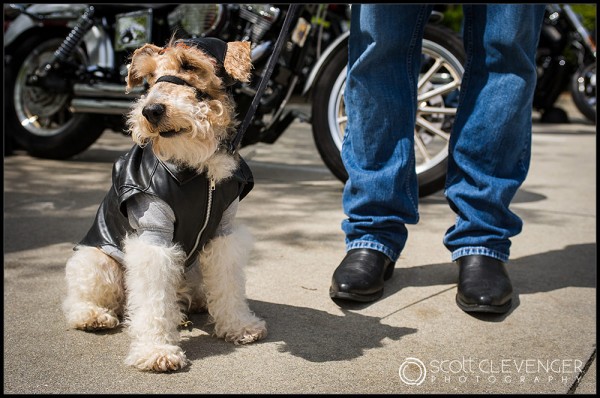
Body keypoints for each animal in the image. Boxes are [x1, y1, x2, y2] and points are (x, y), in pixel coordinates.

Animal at [62, 37, 266, 374]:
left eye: (190, 65)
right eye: (149, 76)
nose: (151, 111)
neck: (199, 168)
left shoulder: (223, 234)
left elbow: (229, 284)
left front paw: (239, 326)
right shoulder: (153, 237)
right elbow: (153, 298)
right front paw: (156, 351)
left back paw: (196, 302)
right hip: (97, 261)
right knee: (81, 298)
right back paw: (93, 316)